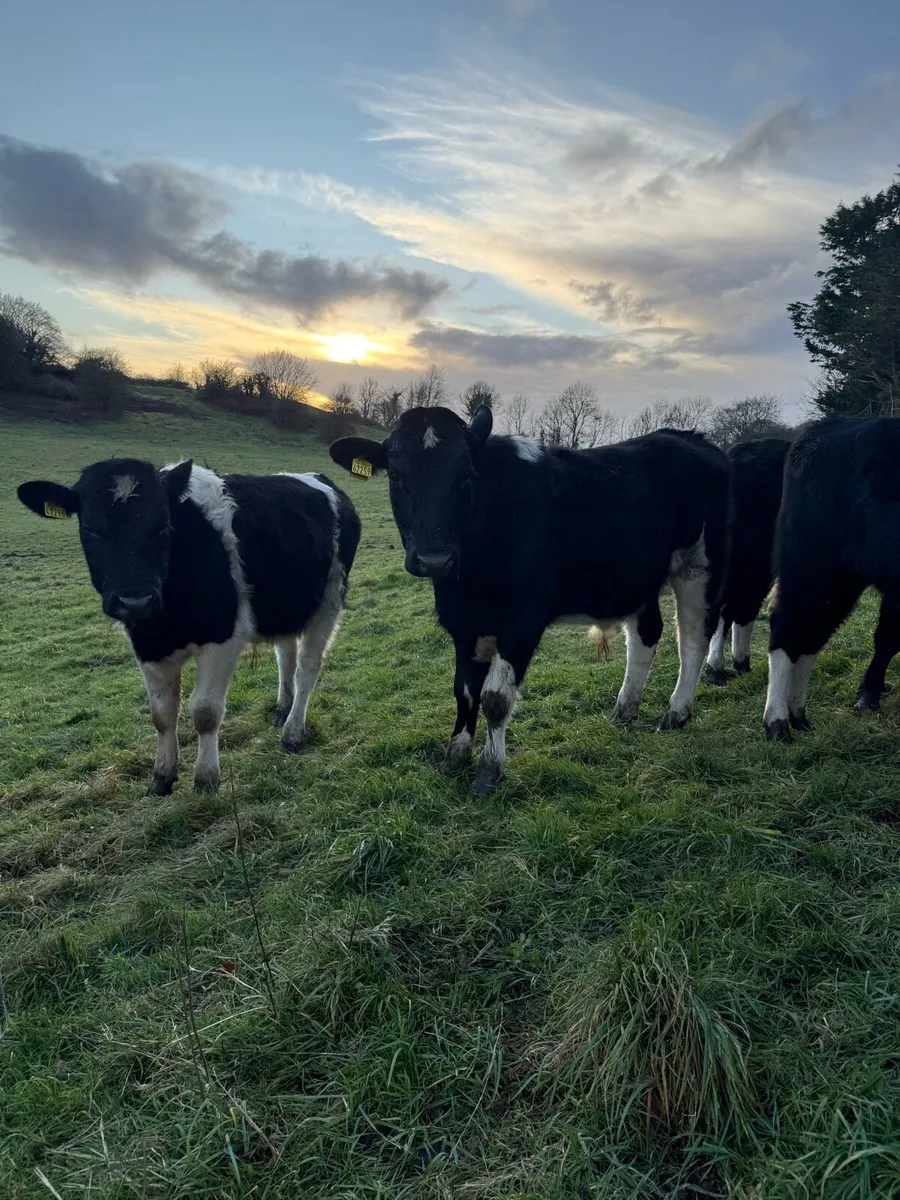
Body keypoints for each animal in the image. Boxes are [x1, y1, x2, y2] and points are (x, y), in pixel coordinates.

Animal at [17, 458, 360, 792]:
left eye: (163, 525)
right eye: (89, 528)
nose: (135, 601)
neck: (167, 618)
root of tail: (318, 478)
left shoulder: (222, 639)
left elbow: (205, 711)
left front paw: (206, 777)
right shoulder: (147, 645)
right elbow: (162, 714)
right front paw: (162, 775)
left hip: (329, 602)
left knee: (307, 669)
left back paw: (292, 732)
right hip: (285, 605)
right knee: (285, 655)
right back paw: (281, 709)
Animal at [329, 405, 728, 794]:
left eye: (466, 475)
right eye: (396, 476)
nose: (435, 558)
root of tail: (692, 438)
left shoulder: (523, 621)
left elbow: (494, 698)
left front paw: (489, 772)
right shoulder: (464, 623)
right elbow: (464, 692)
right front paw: (455, 755)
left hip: (699, 566)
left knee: (694, 640)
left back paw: (676, 713)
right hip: (638, 577)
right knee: (646, 635)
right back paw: (624, 710)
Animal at [763, 416, 900, 740]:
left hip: (840, 579)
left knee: (813, 634)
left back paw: (798, 715)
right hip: (814, 567)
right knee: (789, 628)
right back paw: (777, 722)